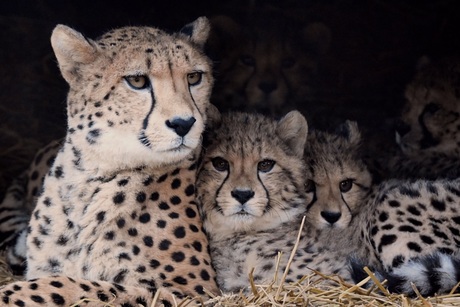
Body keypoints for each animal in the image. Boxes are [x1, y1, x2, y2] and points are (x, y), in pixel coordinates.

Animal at [0, 18, 219, 306]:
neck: (91, 173)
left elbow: (78, 286)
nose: (184, 123)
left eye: (194, 77)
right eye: (137, 80)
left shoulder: (194, 291)